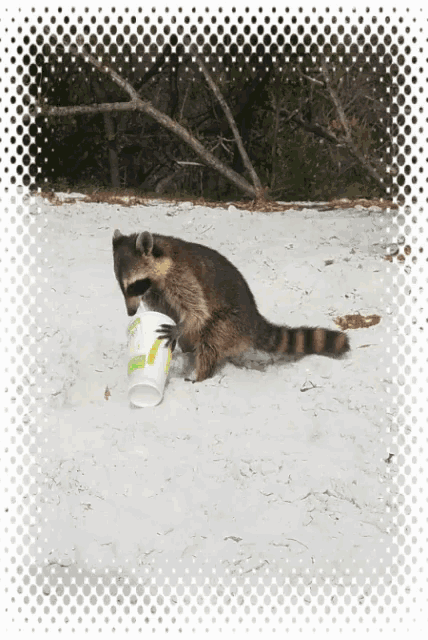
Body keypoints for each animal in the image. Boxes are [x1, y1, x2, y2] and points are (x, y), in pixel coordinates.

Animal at [112, 230, 350, 382]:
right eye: (123, 288)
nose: (130, 312)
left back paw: (201, 374)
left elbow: (198, 312)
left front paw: (179, 328)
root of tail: (254, 319)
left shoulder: (180, 276)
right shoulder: (155, 290)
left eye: (133, 285)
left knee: (211, 335)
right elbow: (166, 310)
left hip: (232, 322)